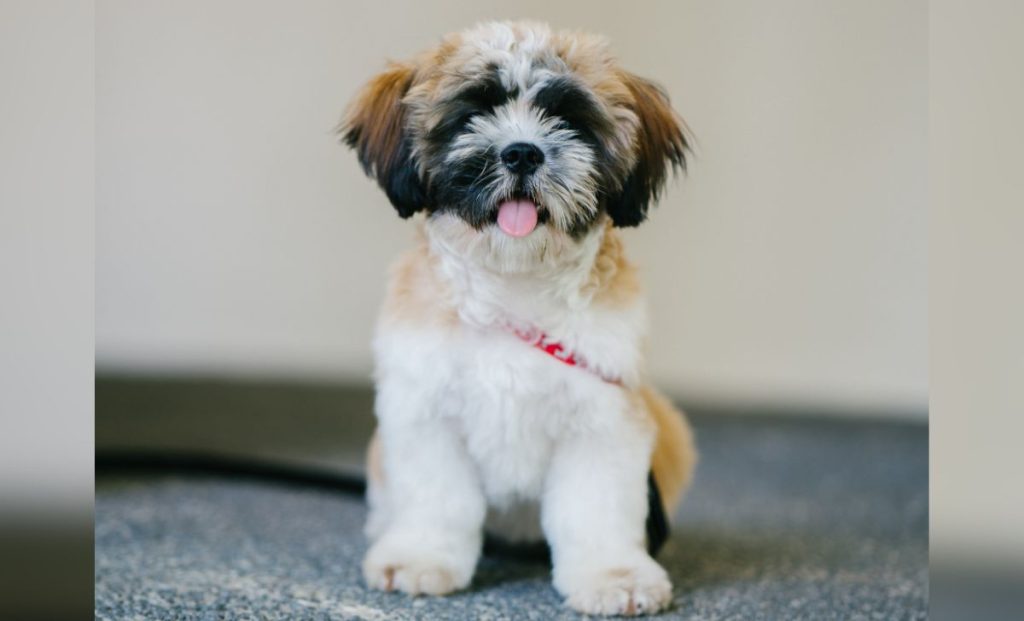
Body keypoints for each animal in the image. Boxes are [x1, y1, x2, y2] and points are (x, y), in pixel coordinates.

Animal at [344, 20, 696, 618]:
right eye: (473, 112)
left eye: (568, 118)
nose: (522, 153)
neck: (512, 287)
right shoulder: (425, 411)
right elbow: (437, 498)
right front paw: (419, 556)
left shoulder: (604, 416)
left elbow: (597, 509)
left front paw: (615, 574)